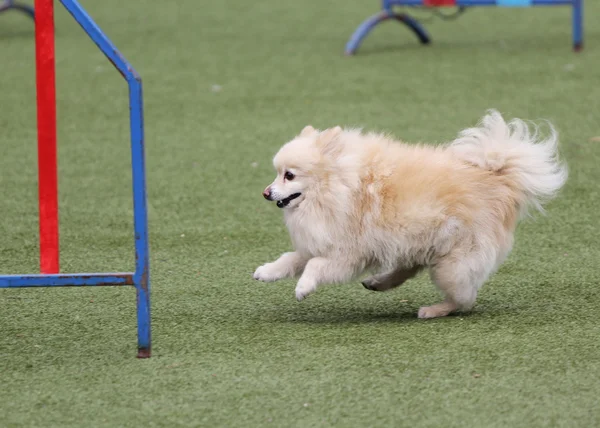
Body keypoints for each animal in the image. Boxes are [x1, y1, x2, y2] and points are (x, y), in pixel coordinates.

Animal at [252, 110, 568, 318]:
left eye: (289, 176)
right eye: (277, 173)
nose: (266, 192)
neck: (335, 187)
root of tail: (499, 179)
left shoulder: (346, 254)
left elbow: (314, 265)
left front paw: (303, 288)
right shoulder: (320, 240)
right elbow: (292, 259)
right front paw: (267, 272)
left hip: (452, 264)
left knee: (465, 299)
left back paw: (433, 310)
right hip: (420, 244)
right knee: (411, 269)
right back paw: (379, 282)